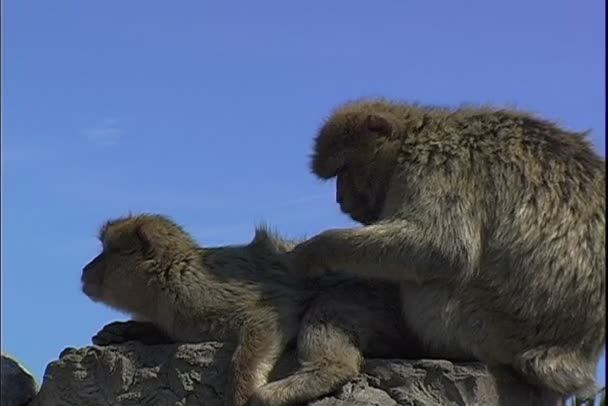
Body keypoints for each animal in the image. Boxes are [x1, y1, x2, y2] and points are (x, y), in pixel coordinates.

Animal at [81, 214, 418, 404]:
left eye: (108, 252)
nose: (86, 269)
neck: (170, 276)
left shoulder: (201, 294)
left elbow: (269, 318)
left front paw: (240, 392)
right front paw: (124, 331)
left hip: (377, 302)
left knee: (328, 306)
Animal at [290, 99, 608, 400]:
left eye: (345, 170)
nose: (340, 196)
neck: (411, 137)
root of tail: (573, 357)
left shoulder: (433, 164)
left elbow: (444, 249)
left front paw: (313, 252)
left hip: (485, 329)